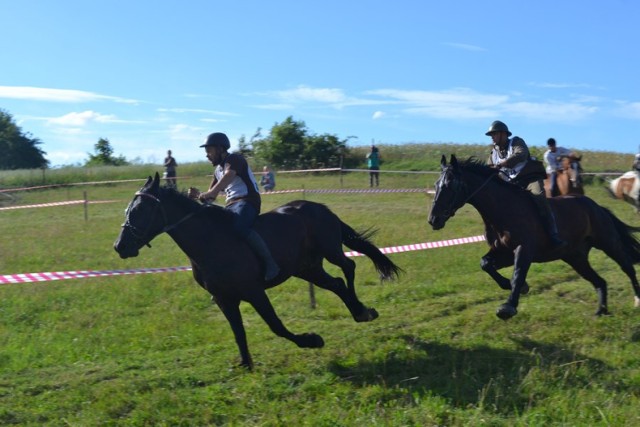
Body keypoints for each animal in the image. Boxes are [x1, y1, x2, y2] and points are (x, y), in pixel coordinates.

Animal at [112, 172, 398, 370]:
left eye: (140, 209)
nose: (120, 246)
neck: (210, 243)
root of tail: (319, 207)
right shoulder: (224, 300)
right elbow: (238, 333)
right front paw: (245, 364)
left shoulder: (254, 291)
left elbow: (276, 325)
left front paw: (311, 340)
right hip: (307, 268)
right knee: (337, 283)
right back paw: (360, 311)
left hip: (330, 251)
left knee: (349, 267)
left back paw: (362, 311)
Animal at [428, 155, 640, 320]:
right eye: (436, 185)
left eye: (450, 185)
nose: (433, 219)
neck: (502, 211)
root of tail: (596, 206)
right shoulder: (503, 253)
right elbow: (486, 264)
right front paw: (519, 288)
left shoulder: (524, 249)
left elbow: (518, 274)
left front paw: (508, 307)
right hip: (575, 257)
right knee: (599, 281)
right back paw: (601, 311)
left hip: (608, 242)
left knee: (627, 267)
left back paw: (637, 300)